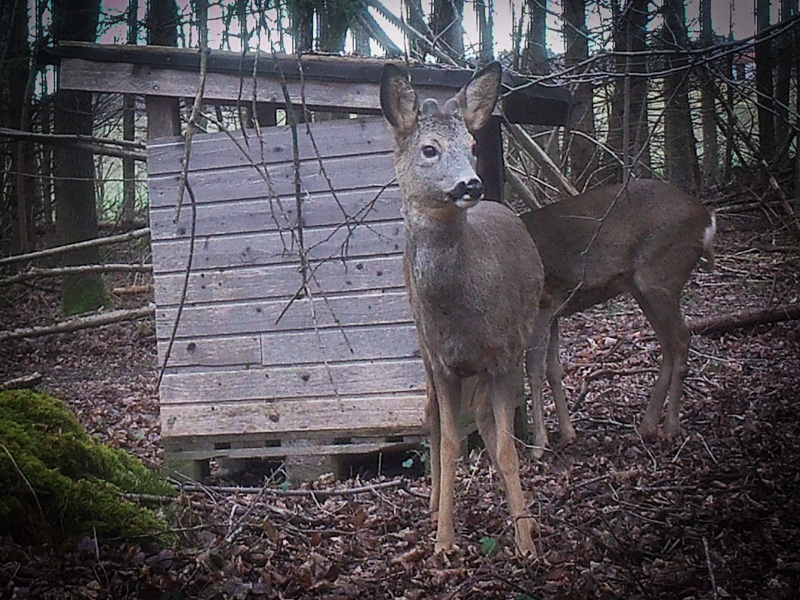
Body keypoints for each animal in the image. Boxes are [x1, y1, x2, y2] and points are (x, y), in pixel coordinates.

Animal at [380, 63, 544, 556]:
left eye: (473, 146)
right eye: (429, 149)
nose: (472, 183)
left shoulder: (502, 355)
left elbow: (506, 446)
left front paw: (526, 540)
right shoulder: (443, 362)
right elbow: (451, 442)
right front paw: (443, 541)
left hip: (520, 339)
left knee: (491, 418)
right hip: (422, 348)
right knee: (432, 419)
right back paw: (434, 505)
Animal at [520, 179, 716, 454]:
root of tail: (707, 220)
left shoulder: (541, 304)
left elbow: (534, 371)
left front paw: (539, 444)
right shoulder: (555, 310)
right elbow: (554, 369)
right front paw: (567, 434)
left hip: (661, 276)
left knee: (681, 339)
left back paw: (670, 428)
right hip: (642, 287)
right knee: (668, 343)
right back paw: (648, 426)